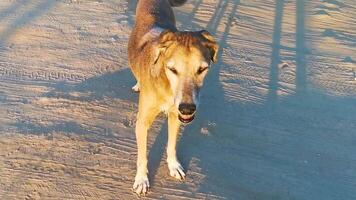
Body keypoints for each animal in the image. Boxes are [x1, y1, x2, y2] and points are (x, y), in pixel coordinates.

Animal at [127, 0, 217, 196]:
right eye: (172, 69)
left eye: (202, 69)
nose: (187, 109)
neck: (166, 87)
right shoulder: (142, 122)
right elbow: (142, 156)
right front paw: (141, 179)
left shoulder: (176, 116)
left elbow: (171, 144)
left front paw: (174, 166)